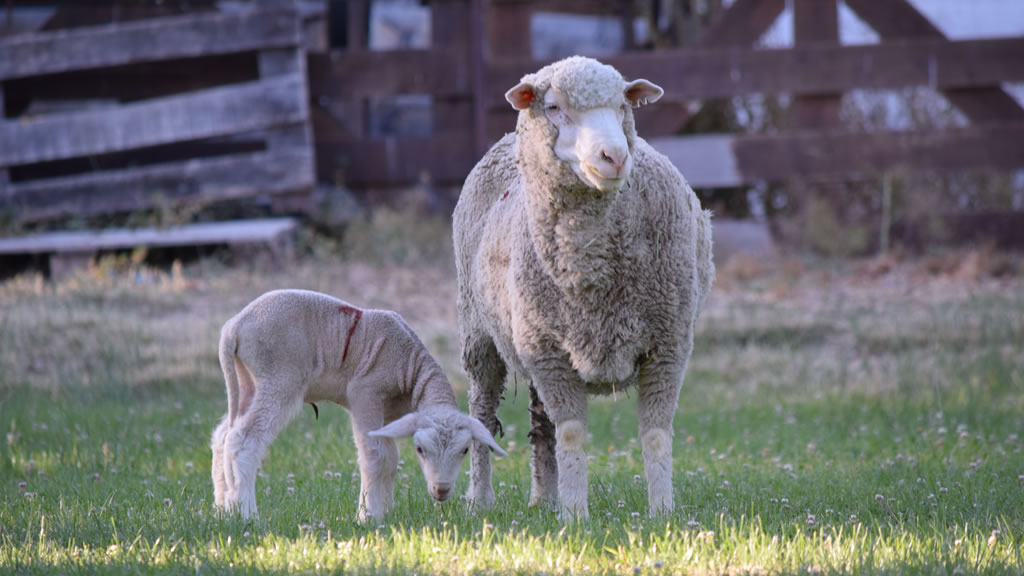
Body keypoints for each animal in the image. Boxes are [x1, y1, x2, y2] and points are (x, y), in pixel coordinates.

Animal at [209, 289, 505, 518]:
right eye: (420, 450)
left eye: (465, 450)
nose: (441, 490)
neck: (410, 366)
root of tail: (234, 327)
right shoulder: (366, 393)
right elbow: (375, 455)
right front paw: (369, 516)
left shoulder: (389, 416)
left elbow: (391, 458)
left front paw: (386, 511)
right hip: (278, 377)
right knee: (244, 440)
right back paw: (247, 513)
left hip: (248, 380)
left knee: (223, 436)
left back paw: (224, 509)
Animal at [456, 56, 712, 518]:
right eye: (554, 107)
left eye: (622, 105)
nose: (614, 156)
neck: (592, 272)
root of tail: (503, 141)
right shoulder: (550, 354)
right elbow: (572, 433)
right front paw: (576, 515)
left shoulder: (668, 344)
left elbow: (655, 435)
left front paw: (662, 513)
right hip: (480, 334)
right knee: (482, 413)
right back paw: (480, 499)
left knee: (541, 425)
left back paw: (543, 498)